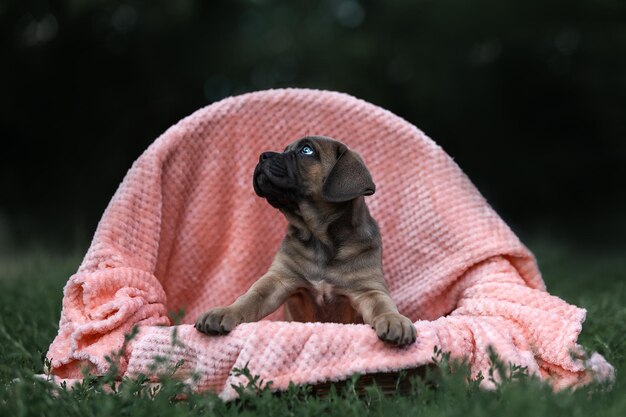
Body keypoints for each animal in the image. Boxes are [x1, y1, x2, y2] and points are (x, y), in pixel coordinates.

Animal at [194, 136, 414, 344]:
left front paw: (394, 320)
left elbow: (383, 306)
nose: (262, 156)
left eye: (306, 150)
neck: (319, 238)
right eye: (285, 149)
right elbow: (250, 298)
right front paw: (226, 311)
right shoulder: (278, 278)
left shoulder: (368, 289)